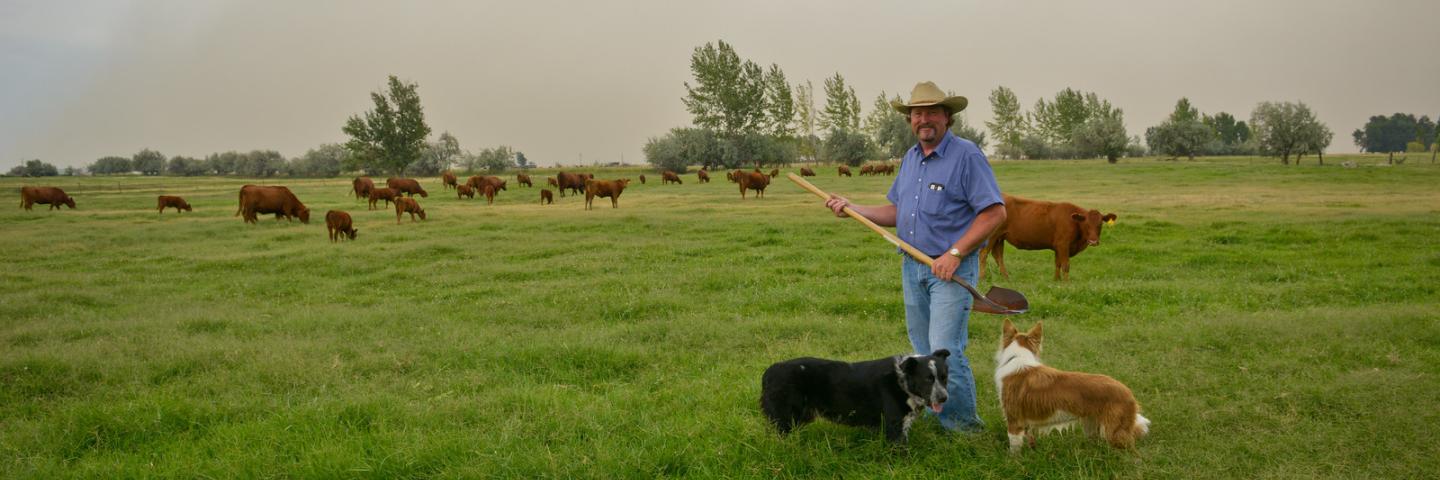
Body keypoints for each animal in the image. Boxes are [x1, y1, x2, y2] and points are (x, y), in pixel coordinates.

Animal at [760, 345, 950, 443]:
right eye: (928, 379)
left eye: (944, 377)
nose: (944, 398)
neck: (902, 381)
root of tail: (769, 371)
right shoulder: (894, 426)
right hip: (785, 418)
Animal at [984, 193, 1117, 278]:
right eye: (1086, 224)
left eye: (1100, 224)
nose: (1093, 241)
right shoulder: (1063, 245)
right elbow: (1065, 265)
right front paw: (1066, 284)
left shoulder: (1058, 247)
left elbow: (1058, 264)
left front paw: (1056, 280)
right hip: (991, 237)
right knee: (983, 254)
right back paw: (983, 277)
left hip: (999, 238)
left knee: (998, 256)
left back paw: (1006, 278)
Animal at [996, 320, 1152, 449]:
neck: (1017, 357)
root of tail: (1129, 392)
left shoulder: (1014, 421)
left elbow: (1014, 449)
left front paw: (1014, 462)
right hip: (1092, 425)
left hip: (1114, 432)